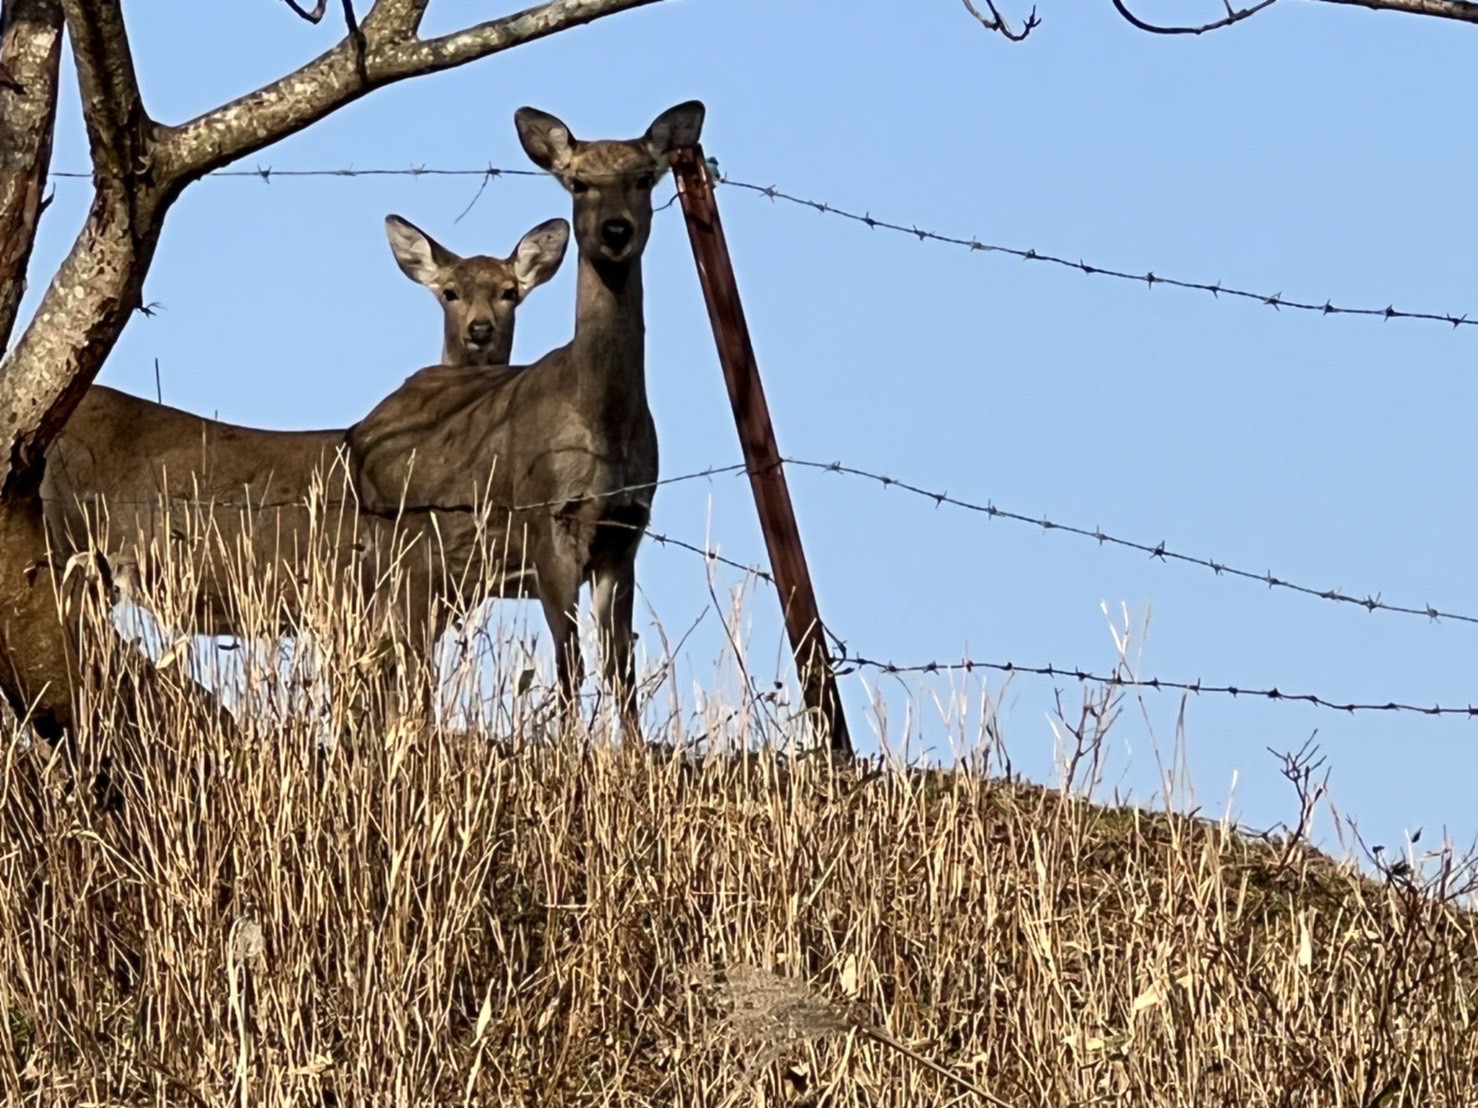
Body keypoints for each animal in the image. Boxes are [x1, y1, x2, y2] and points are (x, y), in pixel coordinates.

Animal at [351, 95, 709, 738]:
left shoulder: (625, 531)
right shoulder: (547, 523)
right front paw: (569, 746)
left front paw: (633, 749)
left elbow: (619, 664)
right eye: (578, 182)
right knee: (393, 656)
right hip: (398, 549)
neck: (602, 426)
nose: (615, 231)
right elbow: (569, 661)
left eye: (644, 177)